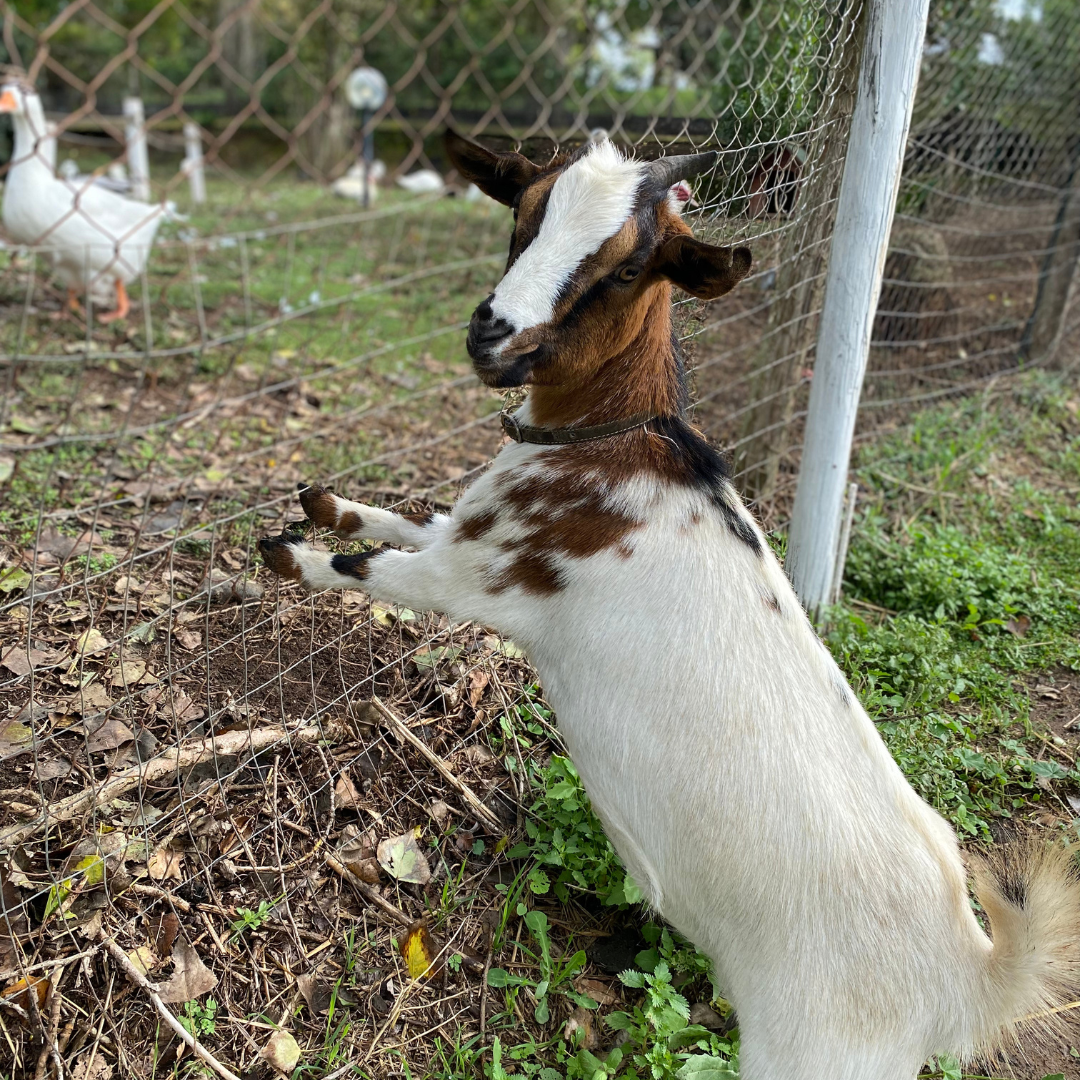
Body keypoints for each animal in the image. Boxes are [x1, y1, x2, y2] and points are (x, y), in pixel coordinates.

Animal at [261, 130, 1080, 1075]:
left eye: (626, 268)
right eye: (524, 209)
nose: (491, 331)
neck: (615, 447)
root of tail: (965, 979)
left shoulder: (475, 578)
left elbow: (373, 566)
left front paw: (289, 552)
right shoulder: (464, 531)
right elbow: (404, 518)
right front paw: (322, 502)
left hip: (811, 1053)